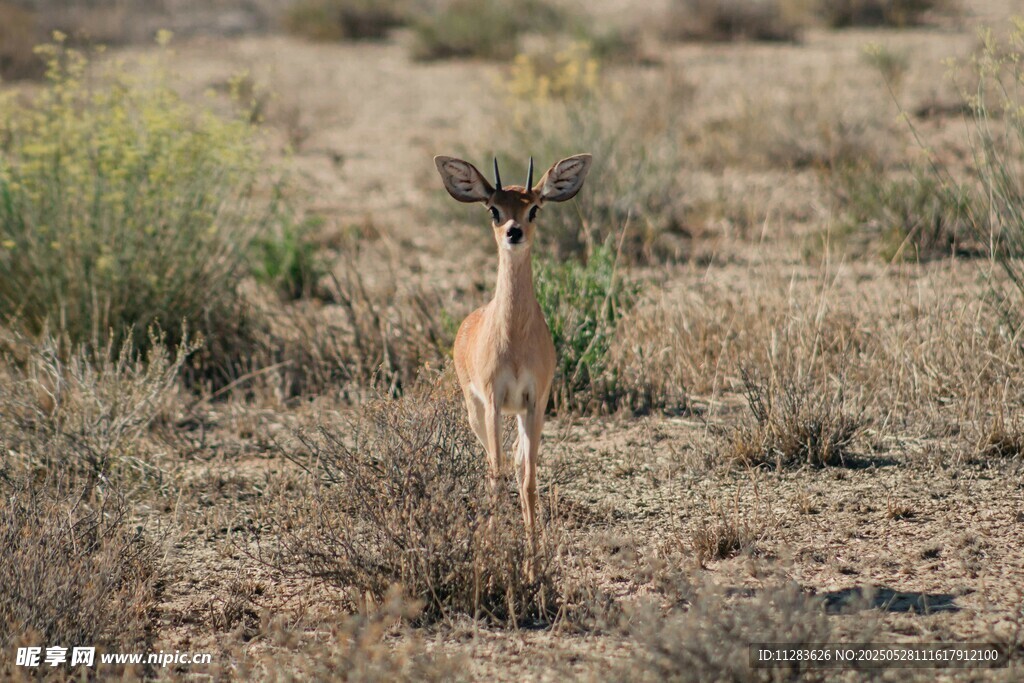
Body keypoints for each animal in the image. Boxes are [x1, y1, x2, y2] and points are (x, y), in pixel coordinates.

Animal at [434, 153, 592, 535]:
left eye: (534, 207)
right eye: (494, 208)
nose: (513, 232)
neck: (517, 340)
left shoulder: (535, 401)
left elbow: (528, 479)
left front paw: (533, 551)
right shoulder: (493, 401)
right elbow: (496, 475)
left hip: (524, 414)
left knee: (517, 461)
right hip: (475, 411)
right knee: (495, 463)